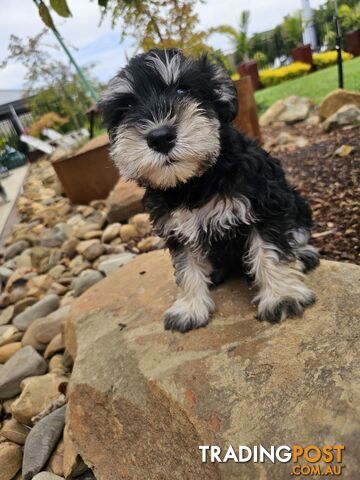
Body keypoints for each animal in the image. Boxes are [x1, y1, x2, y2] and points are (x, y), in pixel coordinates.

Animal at [100, 49, 320, 334]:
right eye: (126, 107)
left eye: (183, 89)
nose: (160, 137)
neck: (192, 183)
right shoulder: (177, 229)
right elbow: (186, 269)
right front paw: (189, 307)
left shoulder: (264, 206)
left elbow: (270, 251)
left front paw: (282, 296)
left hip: (297, 202)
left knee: (297, 233)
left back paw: (303, 254)